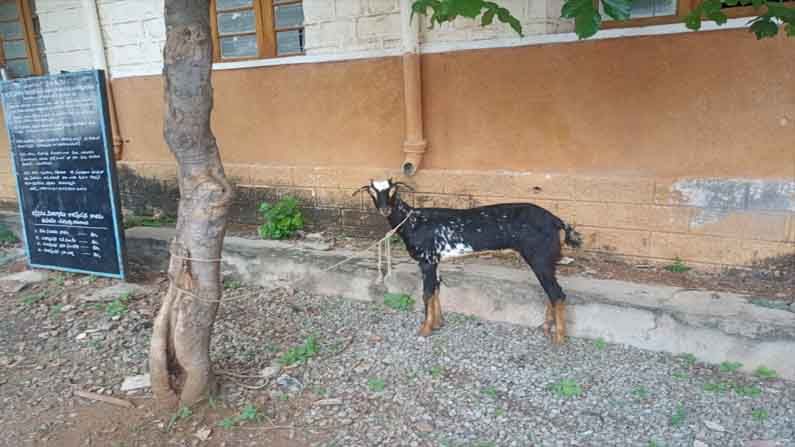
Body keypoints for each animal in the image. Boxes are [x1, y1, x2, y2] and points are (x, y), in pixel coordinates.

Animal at [358, 179, 580, 346]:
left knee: (557, 293)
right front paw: (438, 324)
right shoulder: (435, 260)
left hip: (539, 256)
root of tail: (556, 220)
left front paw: (425, 330)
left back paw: (559, 338)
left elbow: (426, 293)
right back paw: (548, 327)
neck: (413, 221)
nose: (385, 209)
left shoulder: (427, 260)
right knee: (551, 292)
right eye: (372, 190)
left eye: (392, 189)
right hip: (545, 259)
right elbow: (436, 289)